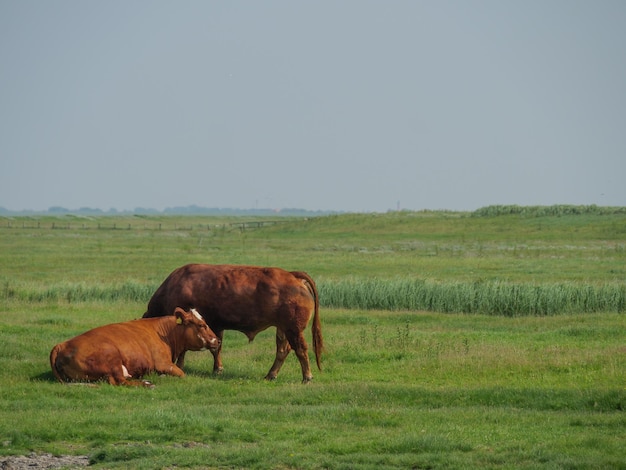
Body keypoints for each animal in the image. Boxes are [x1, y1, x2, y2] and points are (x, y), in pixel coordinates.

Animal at [49, 306, 219, 388]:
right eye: (201, 325)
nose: (217, 341)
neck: (167, 333)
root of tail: (62, 345)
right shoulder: (164, 363)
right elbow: (182, 374)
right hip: (112, 358)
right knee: (119, 381)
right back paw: (147, 384)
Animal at [141, 262, 322, 384]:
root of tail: (293, 275)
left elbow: (191, 349)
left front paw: (182, 365)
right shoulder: (216, 326)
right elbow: (217, 348)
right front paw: (217, 368)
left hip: (293, 330)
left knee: (301, 350)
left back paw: (307, 377)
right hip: (283, 329)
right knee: (282, 351)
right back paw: (271, 375)